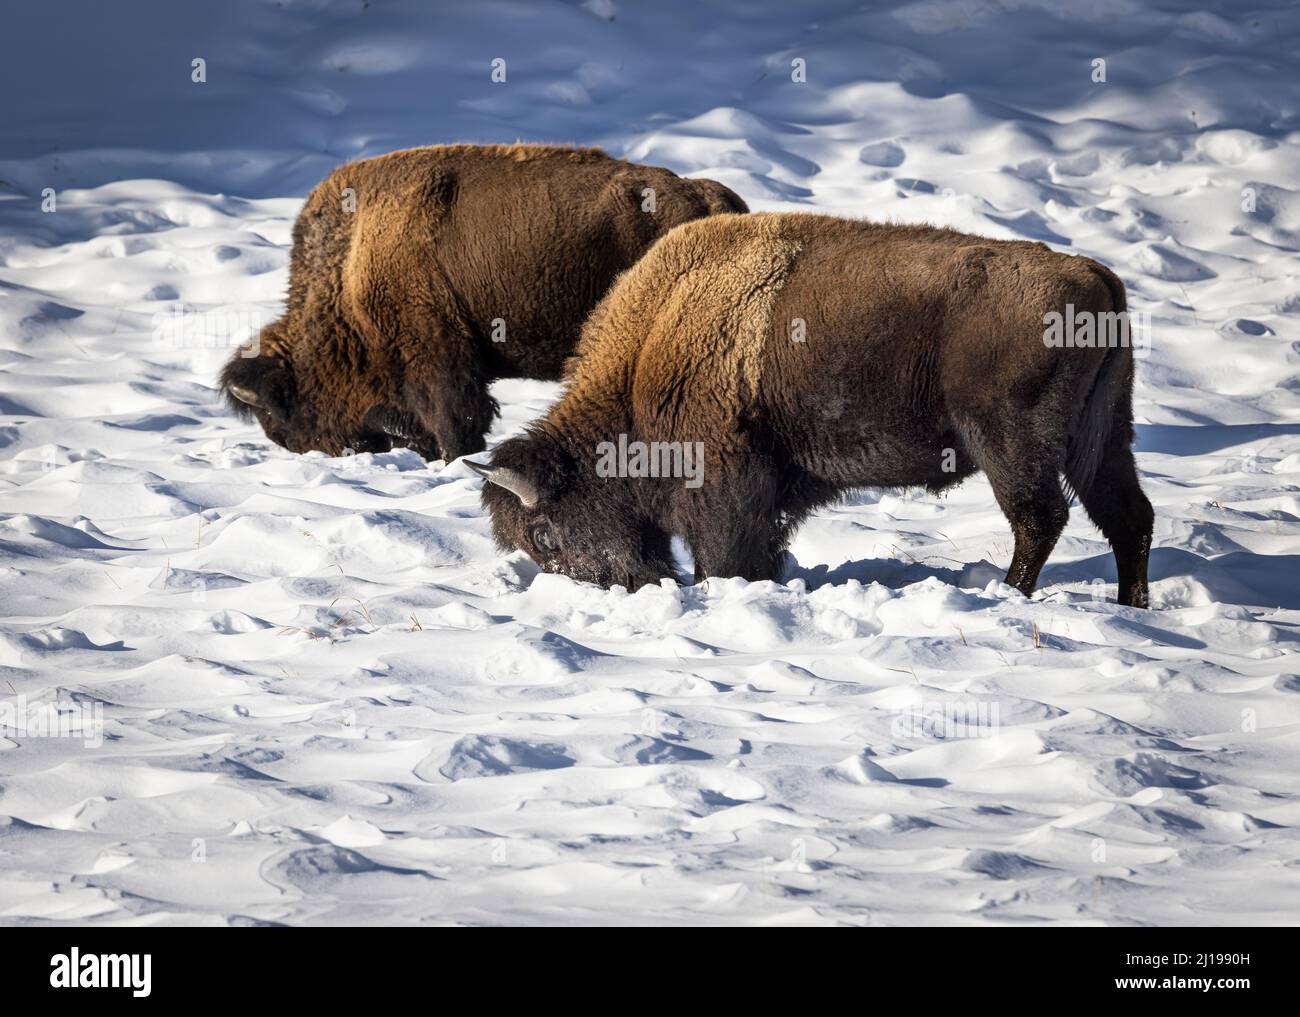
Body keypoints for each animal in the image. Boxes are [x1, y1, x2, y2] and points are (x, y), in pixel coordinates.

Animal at [218, 143, 748, 462]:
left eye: (283, 414)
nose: (329, 450)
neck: (351, 257)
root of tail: (709, 199)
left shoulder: (437, 353)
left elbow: (455, 417)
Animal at [473, 208, 1154, 606]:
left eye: (545, 532)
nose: (619, 587)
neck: (654, 341)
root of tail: (1092, 275)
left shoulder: (725, 487)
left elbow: (726, 556)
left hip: (1011, 443)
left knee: (1040, 518)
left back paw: (1009, 597)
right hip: (1100, 437)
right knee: (1129, 516)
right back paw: (1132, 605)